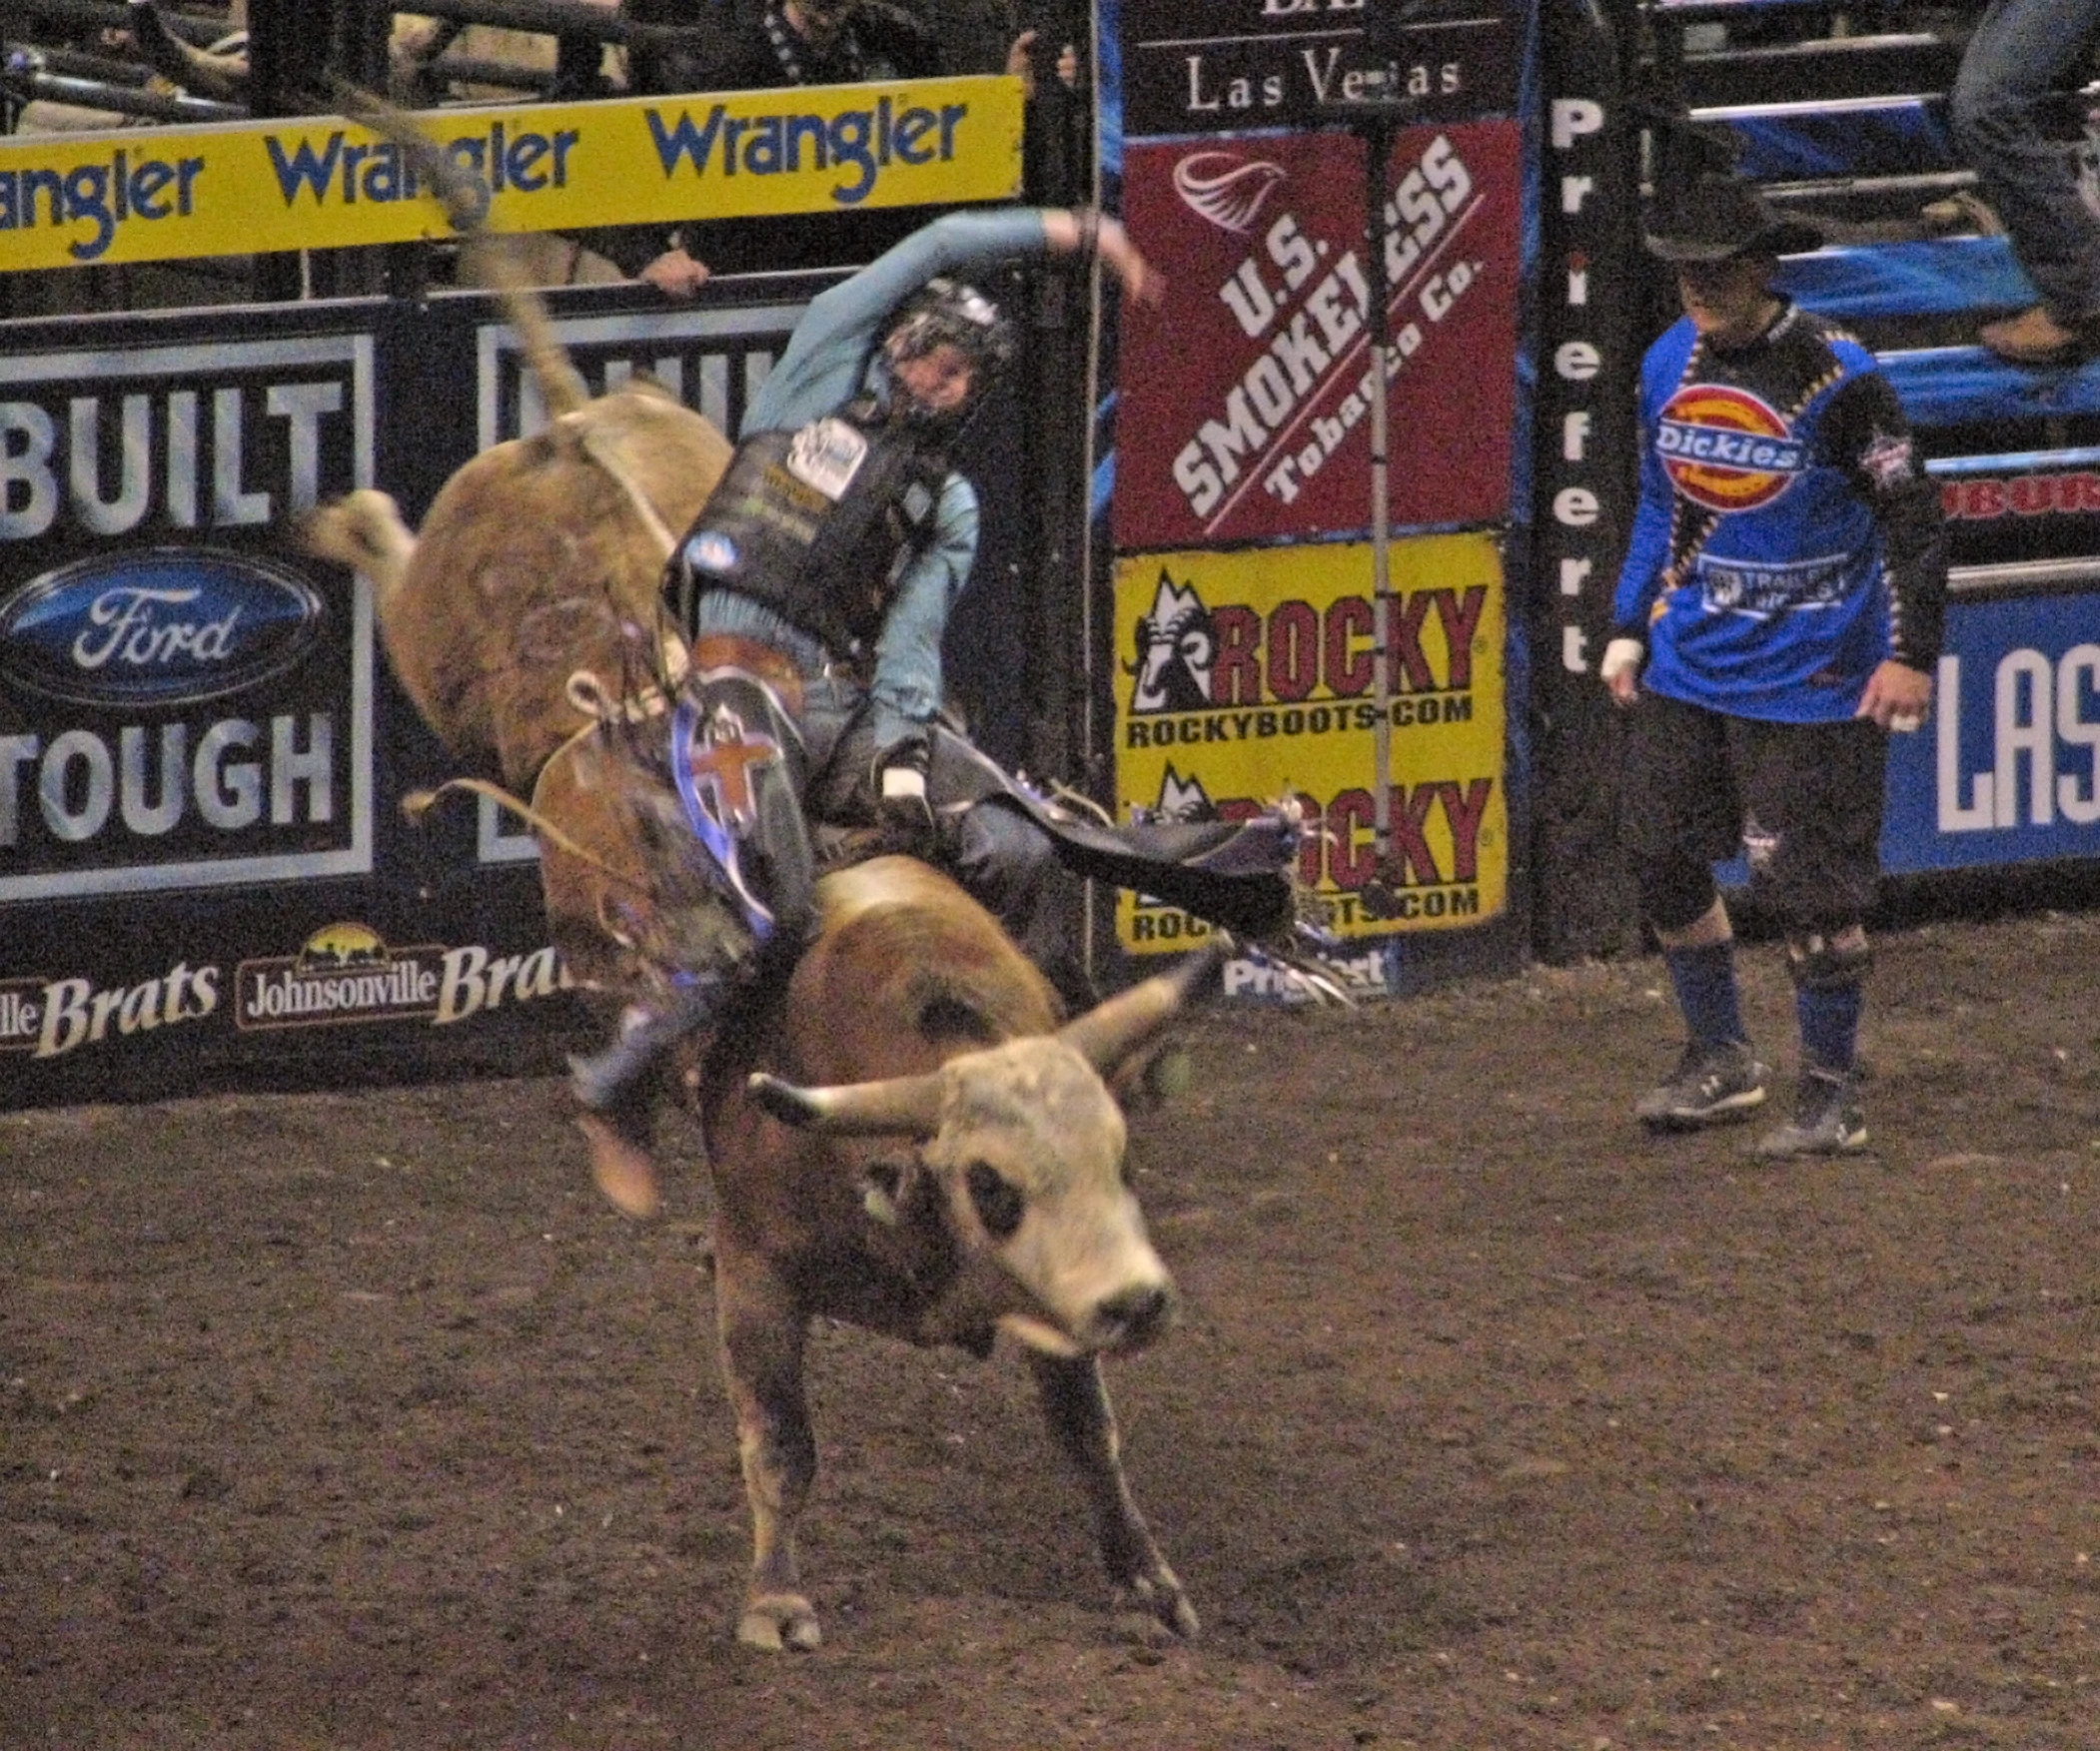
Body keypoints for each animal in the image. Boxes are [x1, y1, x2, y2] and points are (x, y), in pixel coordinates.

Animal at [705, 852, 1209, 1645]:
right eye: (990, 1183)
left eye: (1122, 1157)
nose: (1138, 1303)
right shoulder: (755, 1267)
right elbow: (781, 1445)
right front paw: (776, 1602)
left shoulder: (1056, 1299)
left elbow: (1087, 1436)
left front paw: (1144, 1584)